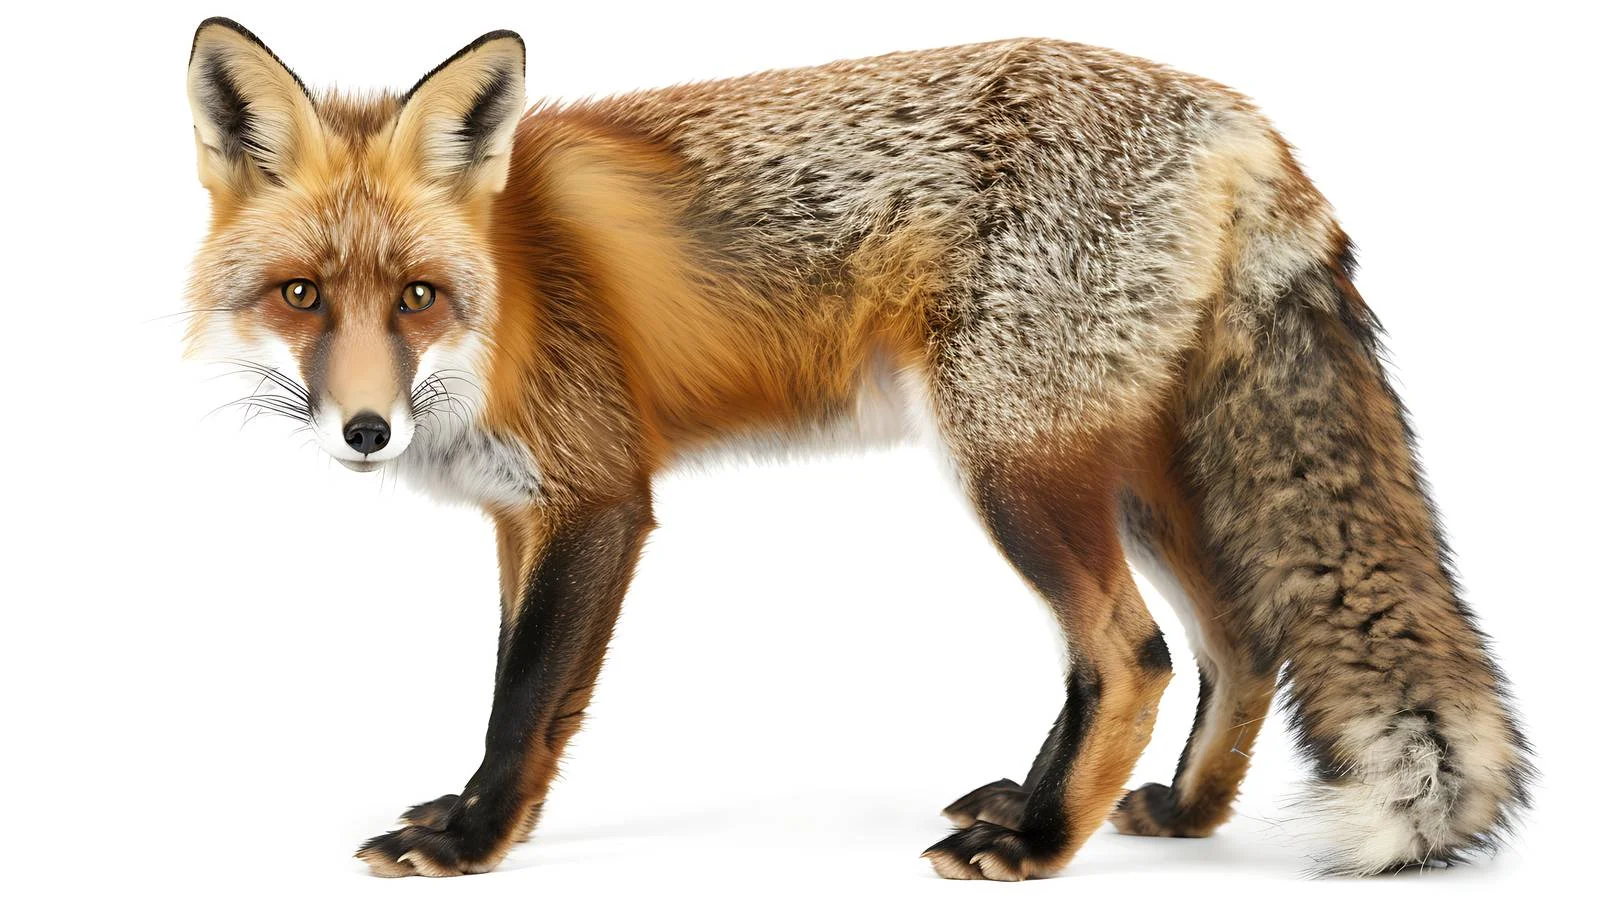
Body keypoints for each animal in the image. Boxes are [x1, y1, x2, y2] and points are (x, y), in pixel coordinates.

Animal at [182, 17, 1531, 880]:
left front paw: (470, 844)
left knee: (1131, 654)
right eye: (302, 296)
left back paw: (1036, 842)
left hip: (1015, 466)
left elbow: (522, 702)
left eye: (417, 297)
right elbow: (535, 698)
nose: (367, 429)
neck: (508, 289)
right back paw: (1164, 814)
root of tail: (1238, 119)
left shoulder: (599, 495)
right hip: (1125, 467)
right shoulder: (527, 512)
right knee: (1238, 641)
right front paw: (483, 821)